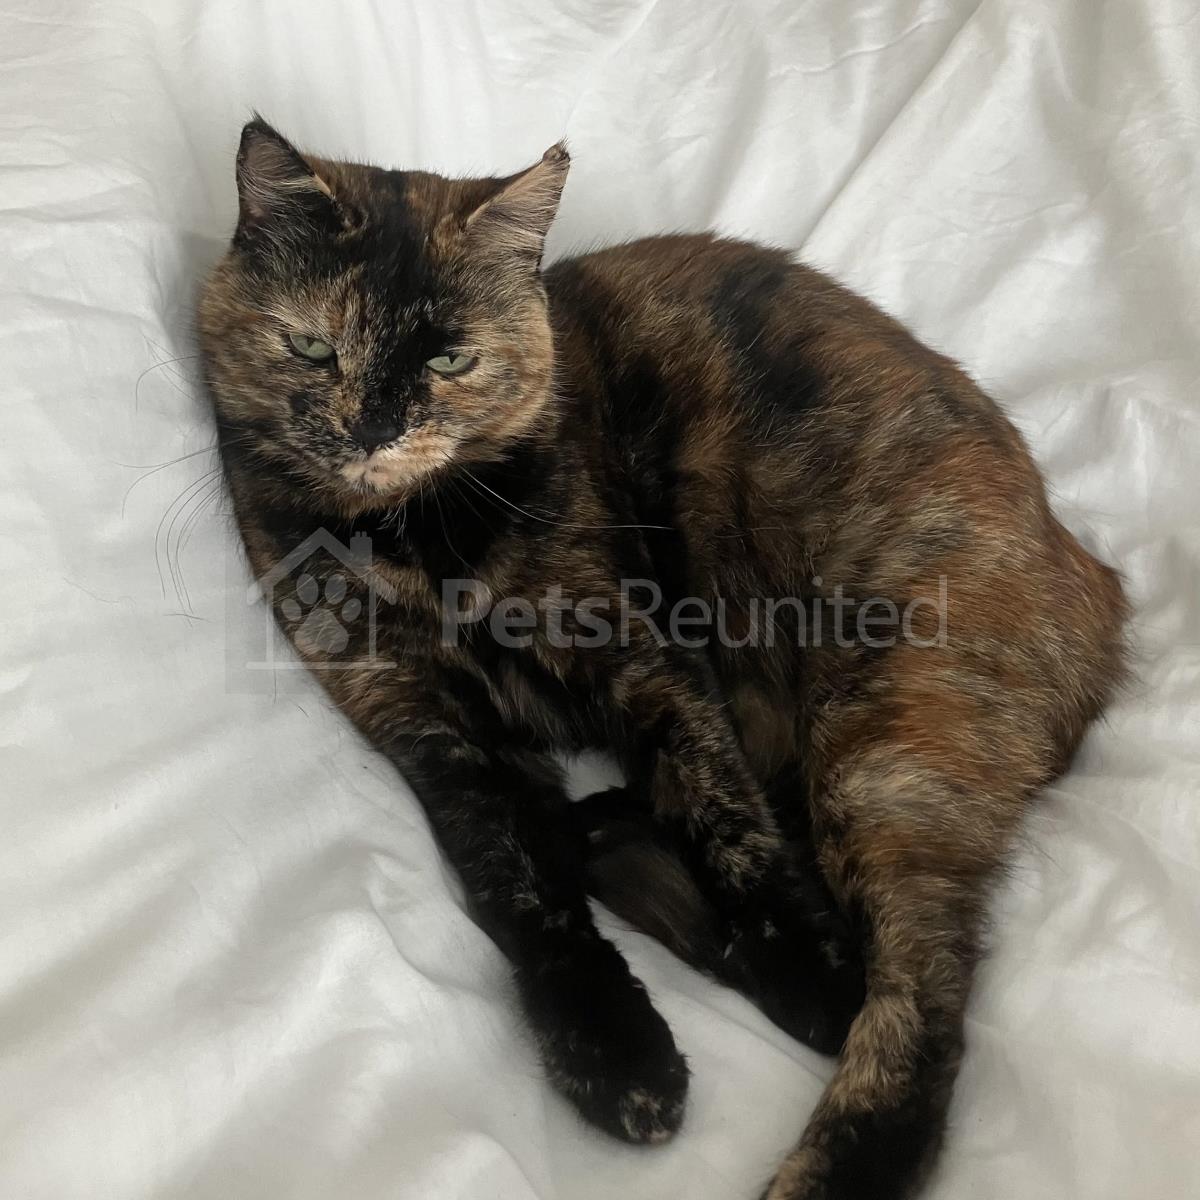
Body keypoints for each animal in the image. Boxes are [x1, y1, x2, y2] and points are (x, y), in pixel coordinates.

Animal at [198, 118, 1128, 1200]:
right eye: (313, 346)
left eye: (454, 360)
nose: (376, 428)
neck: (423, 547)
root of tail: (1098, 584)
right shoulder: (428, 724)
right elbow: (517, 883)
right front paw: (617, 1058)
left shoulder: (646, 664)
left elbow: (730, 826)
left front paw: (815, 970)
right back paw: (618, 846)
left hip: (888, 737)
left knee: (924, 988)